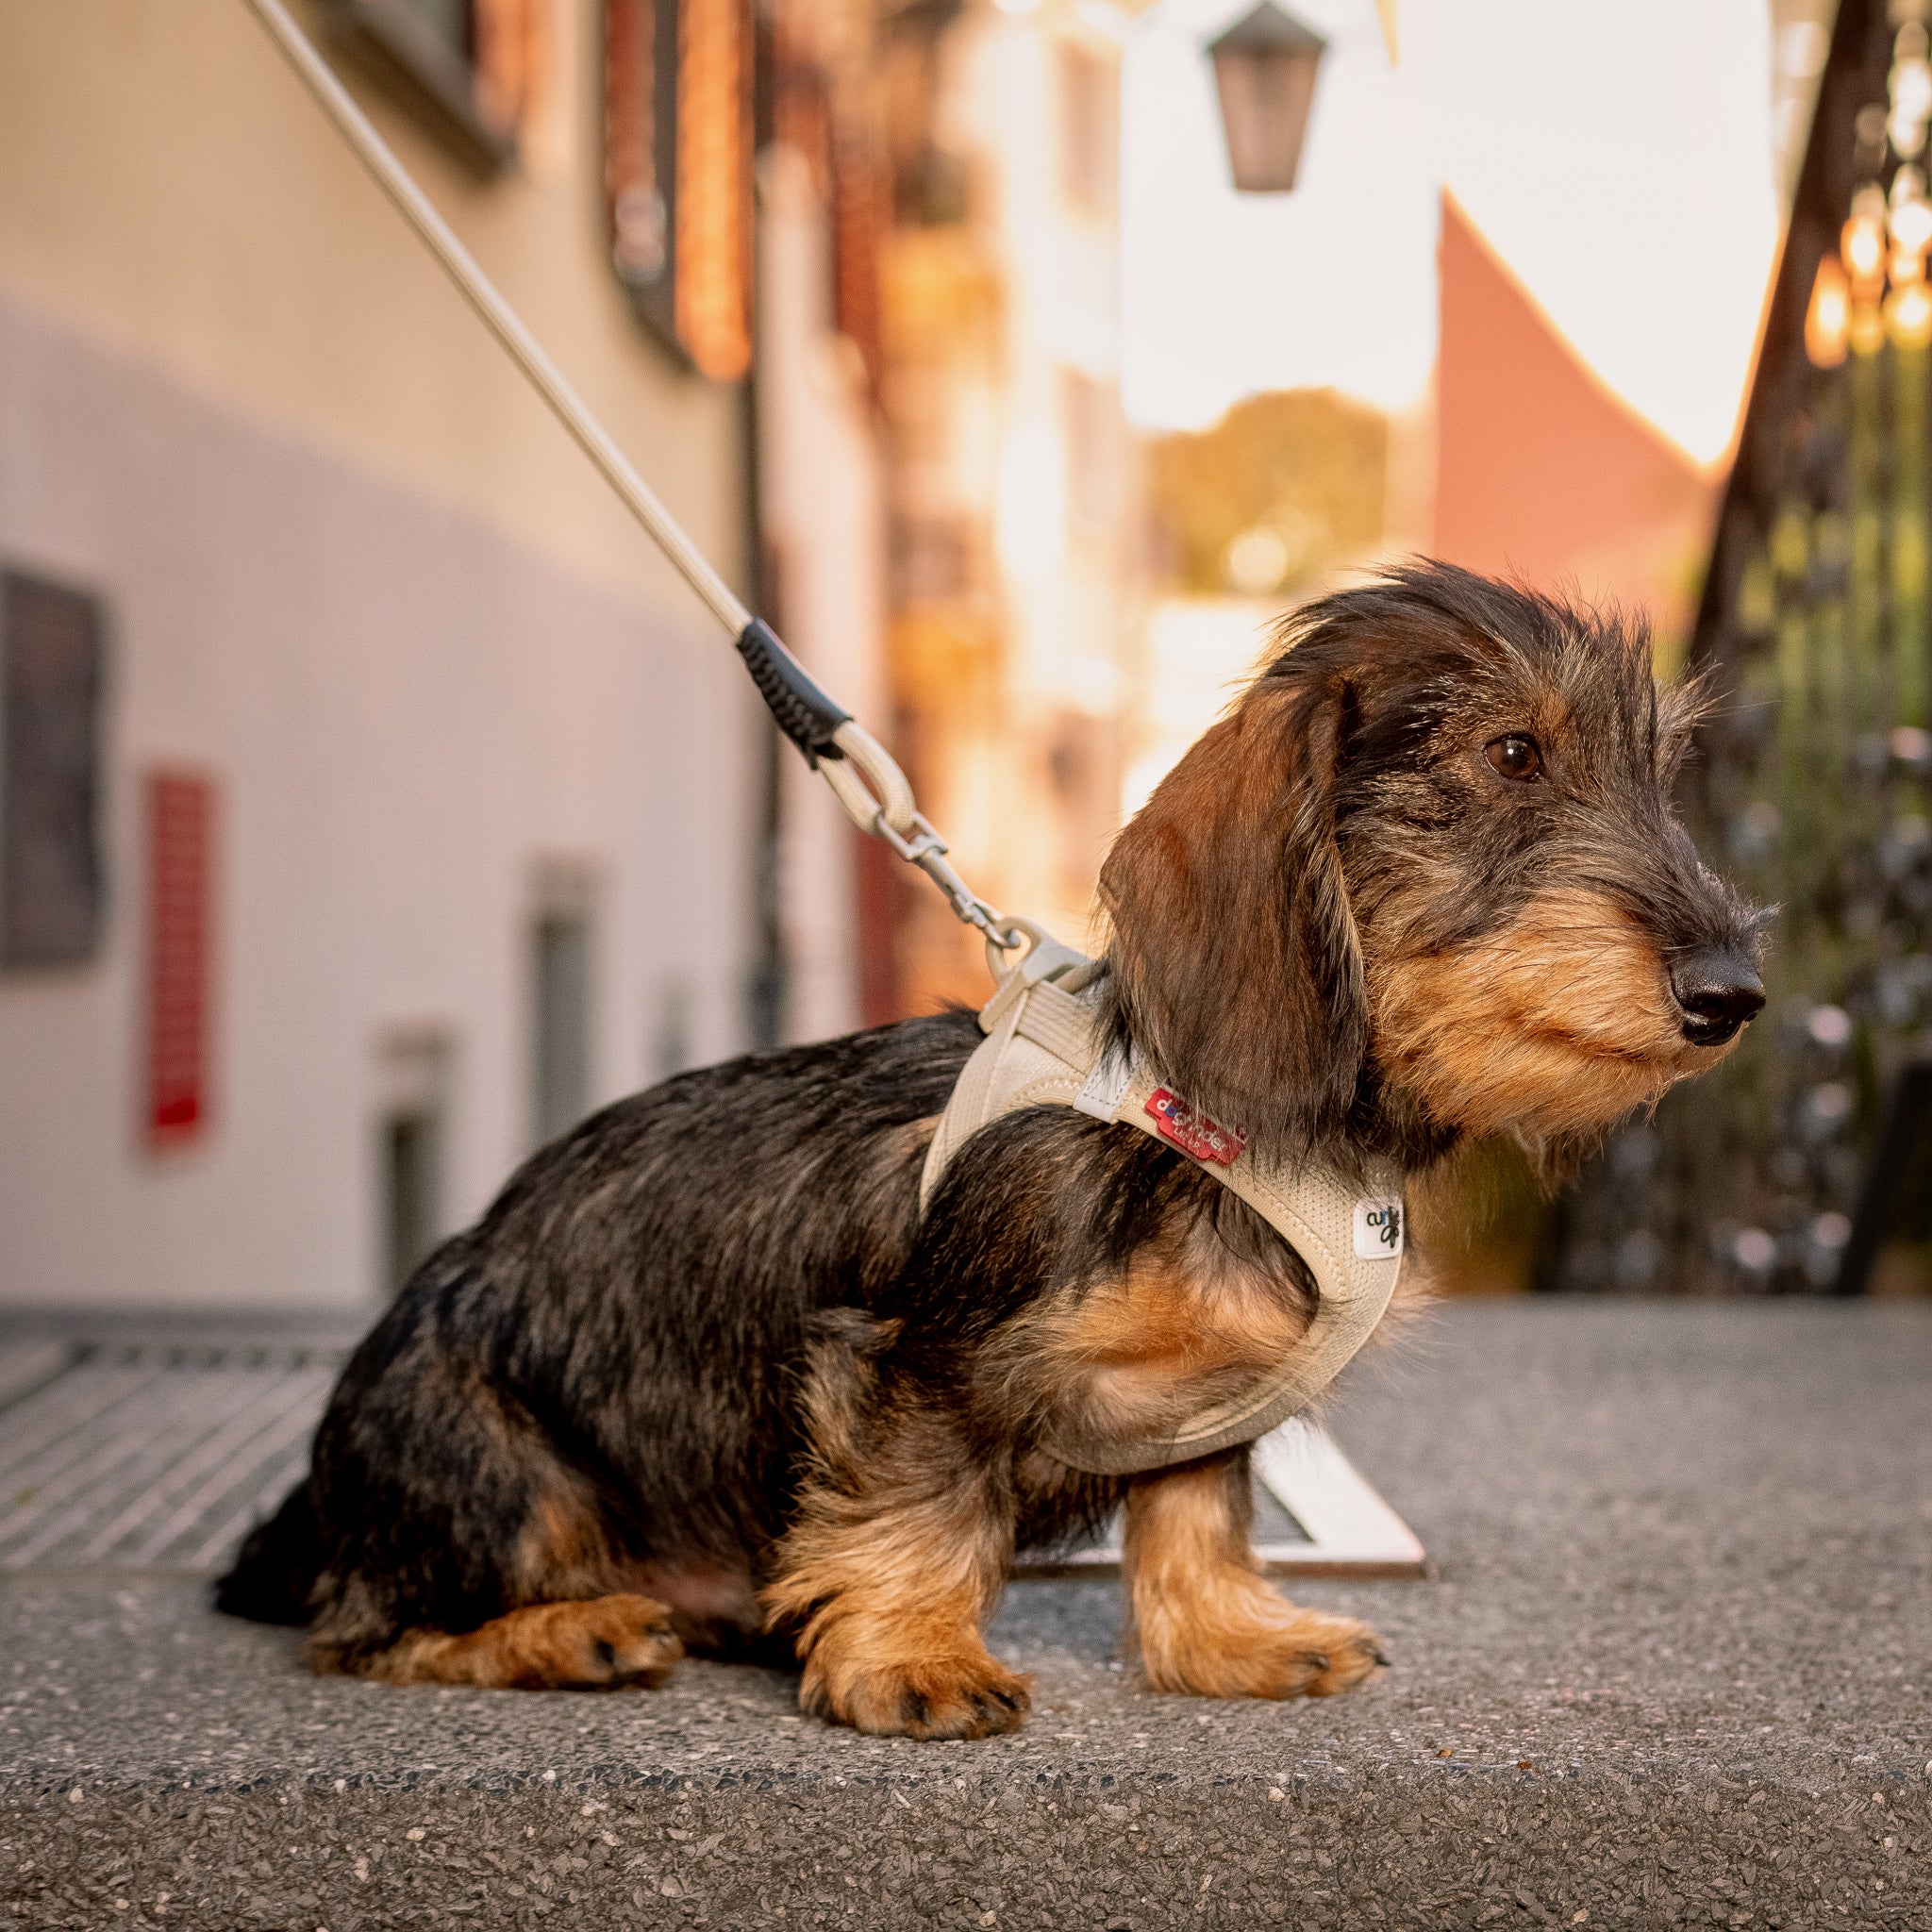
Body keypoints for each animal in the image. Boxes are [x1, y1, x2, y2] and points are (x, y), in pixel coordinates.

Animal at [222, 559, 1769, 1739]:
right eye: (1511, 754)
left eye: (1659, 776)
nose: (1734, 993)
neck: (1241, 1138)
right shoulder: (925, 1357)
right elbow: (921, 1501)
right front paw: (913, 1658)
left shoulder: (1214, 1404)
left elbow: (1196, 1515)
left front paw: (1231, 1639)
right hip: (489, 1460)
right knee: (371, 1629)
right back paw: (569, 1629)